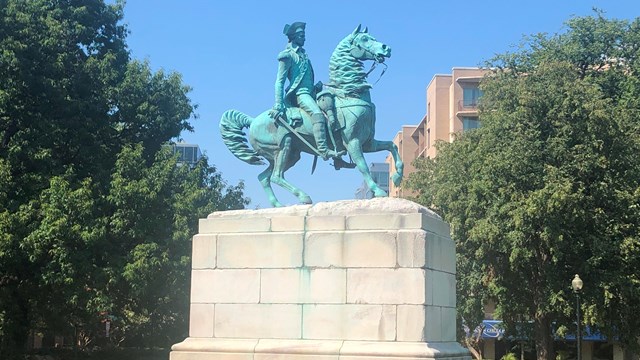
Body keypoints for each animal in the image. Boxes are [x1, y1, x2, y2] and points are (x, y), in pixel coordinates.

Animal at [219, 25, 400, 207]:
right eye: (364, 39)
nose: (387, 48)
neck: (350, 94)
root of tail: (253, 121)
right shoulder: (352, 141)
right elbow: (363, 166)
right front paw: (378, 190)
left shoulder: (367, 142)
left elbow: (392, 146)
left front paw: (397, 177)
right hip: (282, 146)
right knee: (276, 176)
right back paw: (303, 197)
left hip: (290, 154)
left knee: (264, 177)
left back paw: (278, 205)